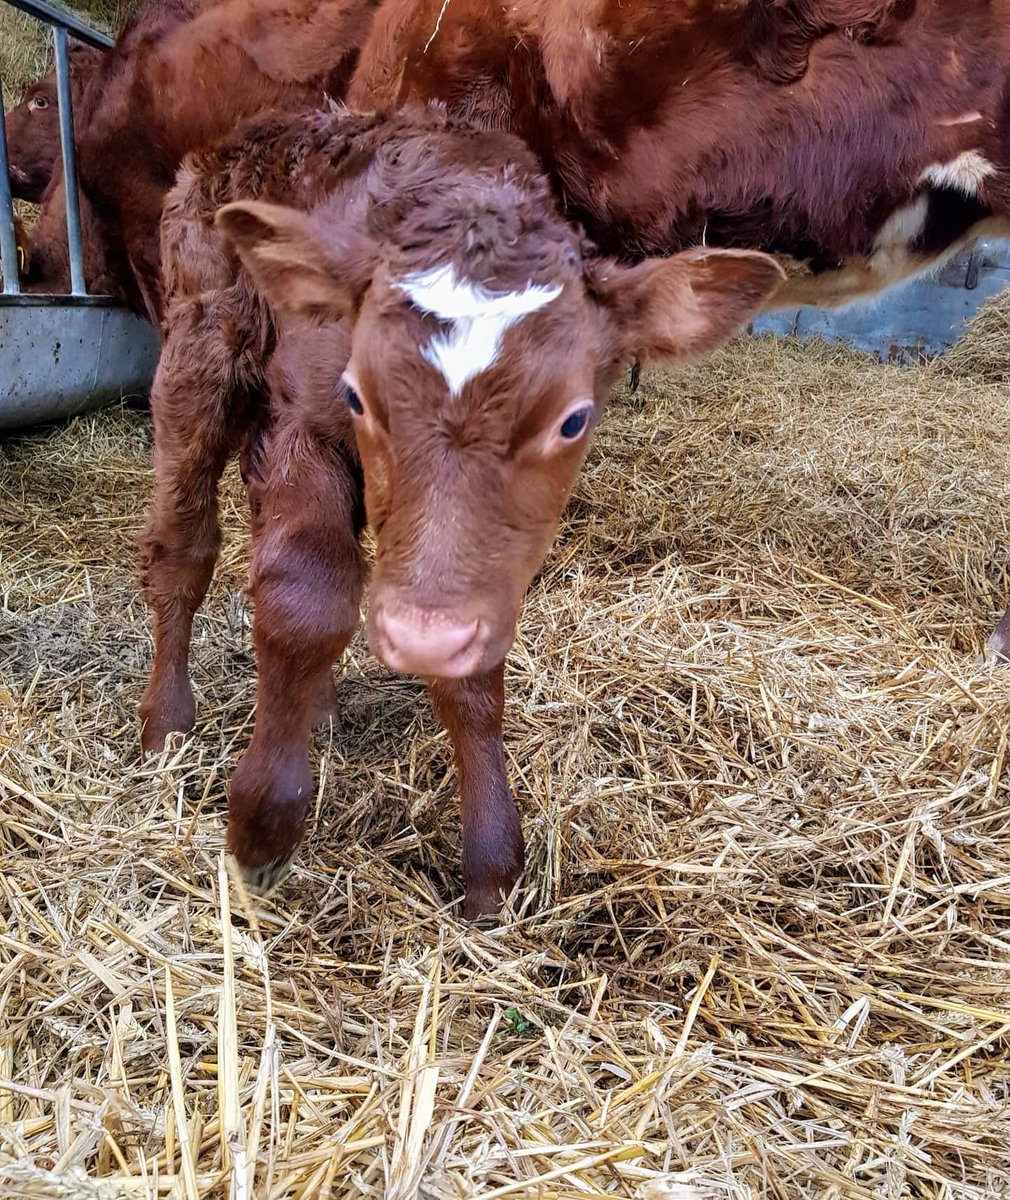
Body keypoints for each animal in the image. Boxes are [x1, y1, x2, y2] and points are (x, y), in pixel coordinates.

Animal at [138, 105, 784, 918]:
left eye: (573, 419)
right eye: (356, 395)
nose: (421, 636)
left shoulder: (480, 578)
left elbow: (470, 675)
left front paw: (492, 869)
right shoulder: (299, 423)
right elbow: (303, 605)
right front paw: (262, 825)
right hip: (198, 352)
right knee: (185, 548)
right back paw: (165, 726)